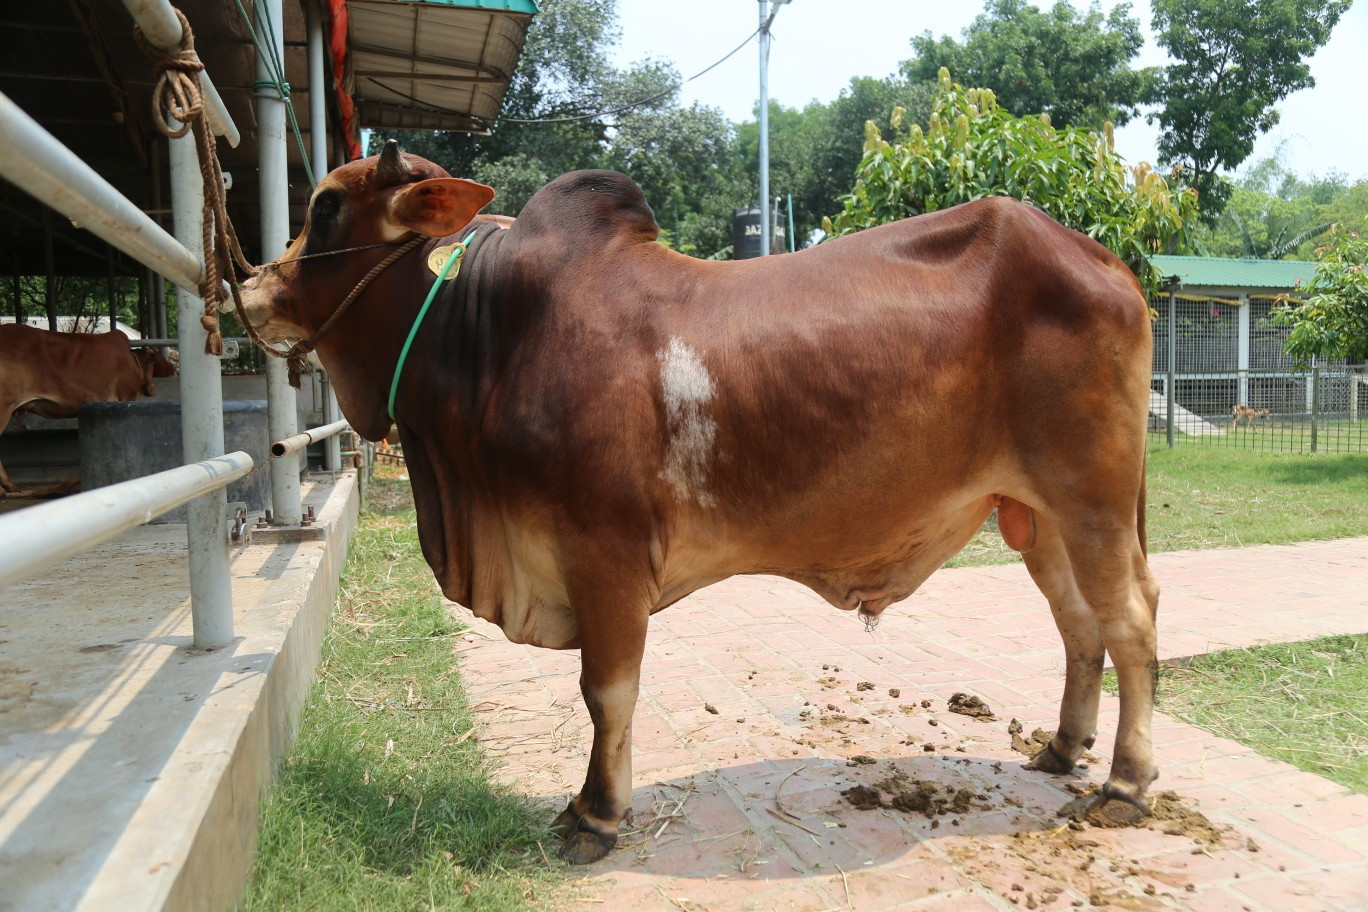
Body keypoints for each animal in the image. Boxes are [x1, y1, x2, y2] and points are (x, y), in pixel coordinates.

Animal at [0, 325, 176, 493]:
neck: (133, 361)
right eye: (160, 358)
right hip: (4, 407)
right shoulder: (124, 397)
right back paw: (7, 486)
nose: (175, 370)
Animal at [237, 142, 1161, 864]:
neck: (490, 332)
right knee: (1079, 624)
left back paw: (1124, 785)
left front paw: (595, 817)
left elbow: (606, 690)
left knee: (1132, 622)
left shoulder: (603, 555)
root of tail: (1103, 259)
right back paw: (1062, 751)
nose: (249, 285)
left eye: (325, 205)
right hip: (1038, 516)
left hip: (1094, 503)